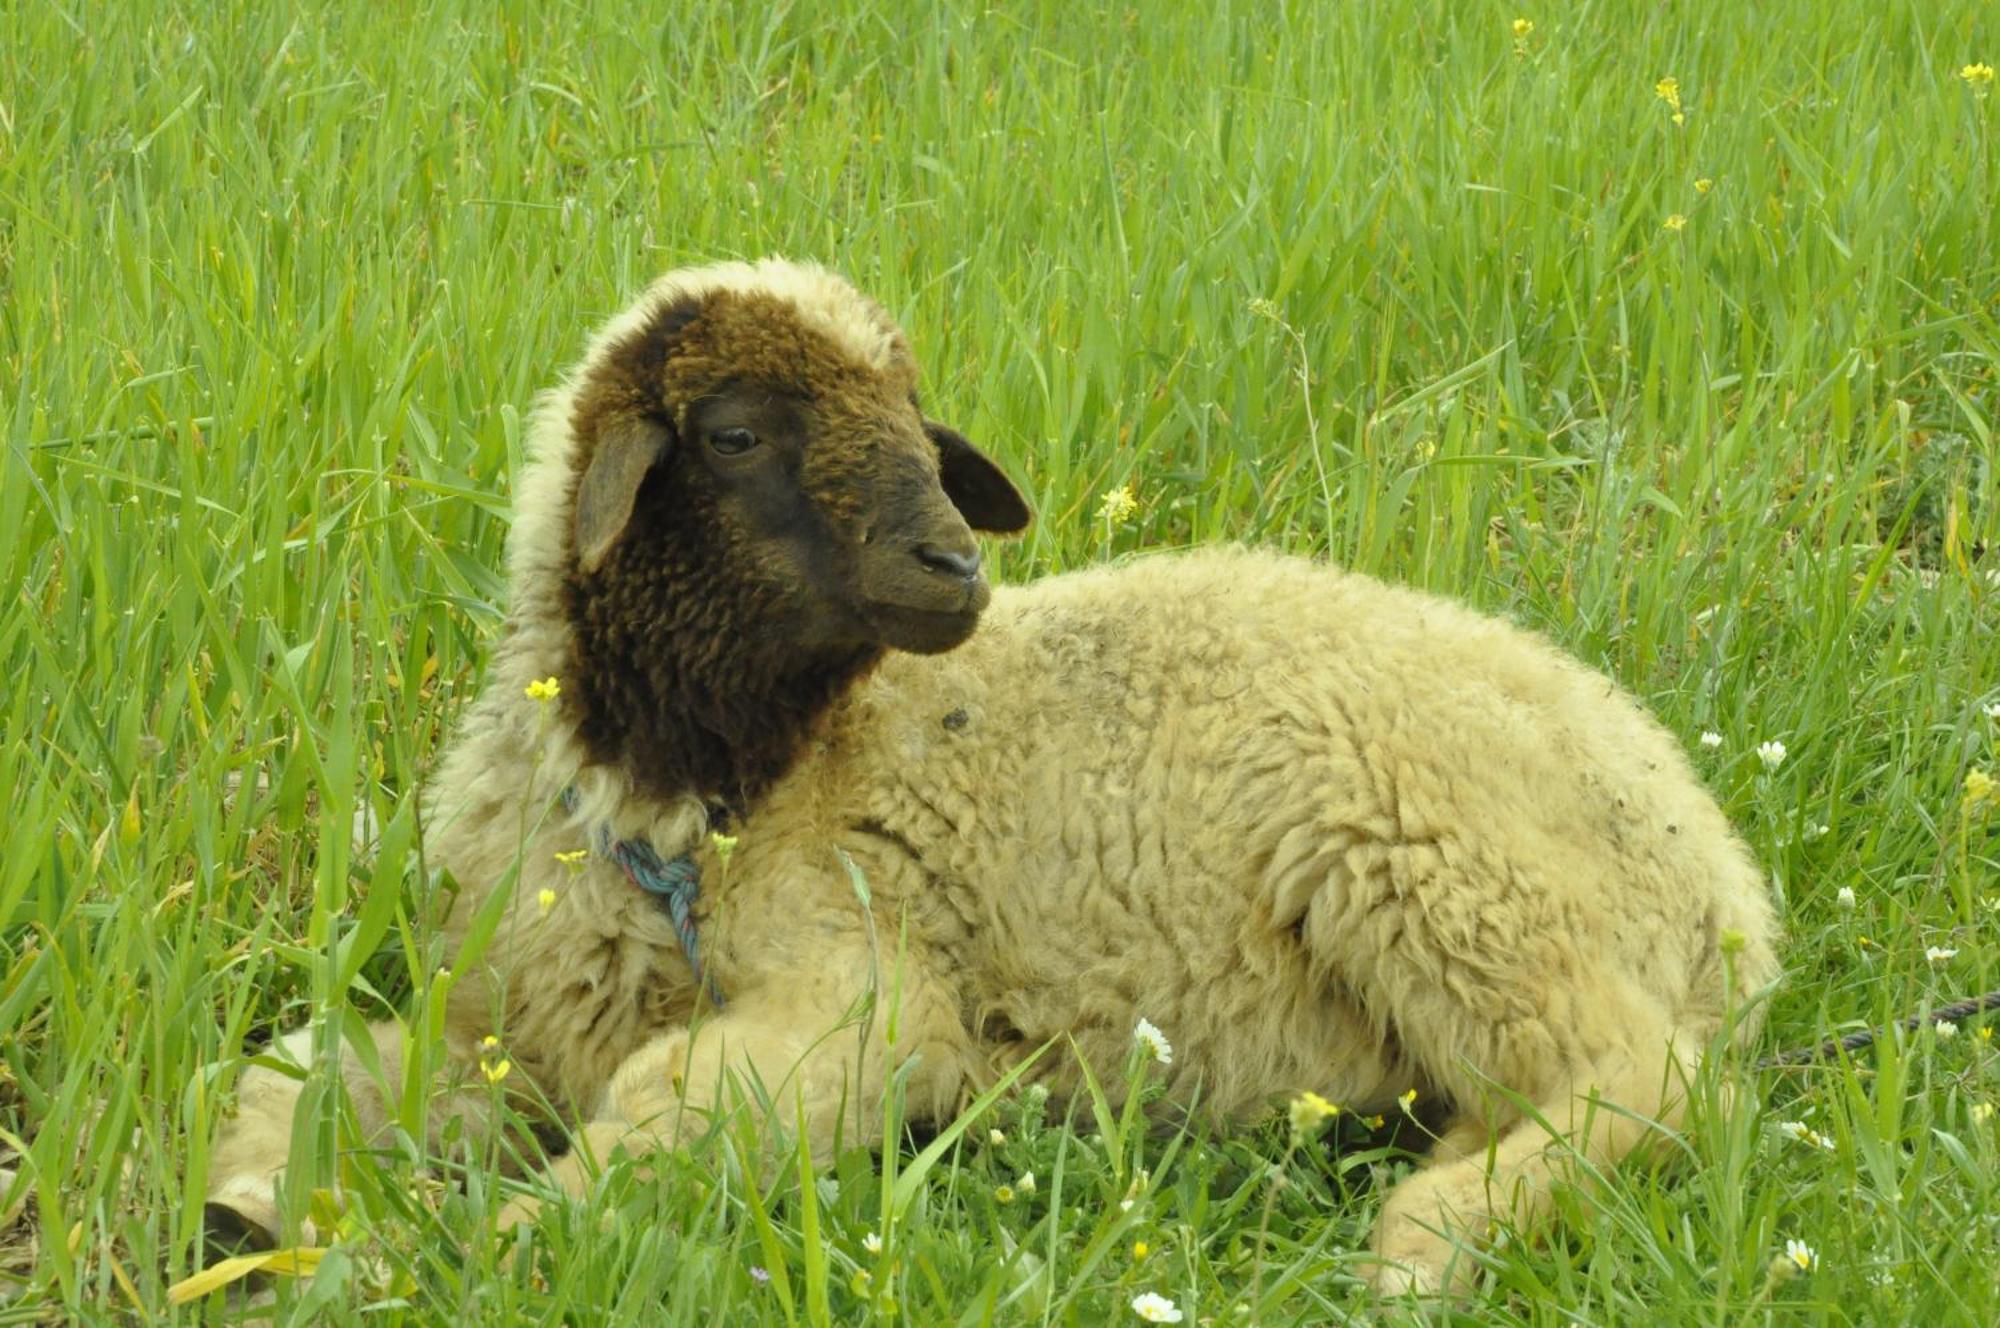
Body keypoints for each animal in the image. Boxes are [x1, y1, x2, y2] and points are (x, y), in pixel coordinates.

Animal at [203, 256, 1784, 1296]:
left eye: (917, 422)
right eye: (735, 433)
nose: (954, 564)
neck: (703, 793)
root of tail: (1724, 881)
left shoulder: (872, 1003)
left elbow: (659, 1111)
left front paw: (492, 1246)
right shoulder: (507, 1017)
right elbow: (305, 1067)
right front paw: (241, 1215)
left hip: (1442, 869)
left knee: (1656, 1082)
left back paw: (1427, 1240)